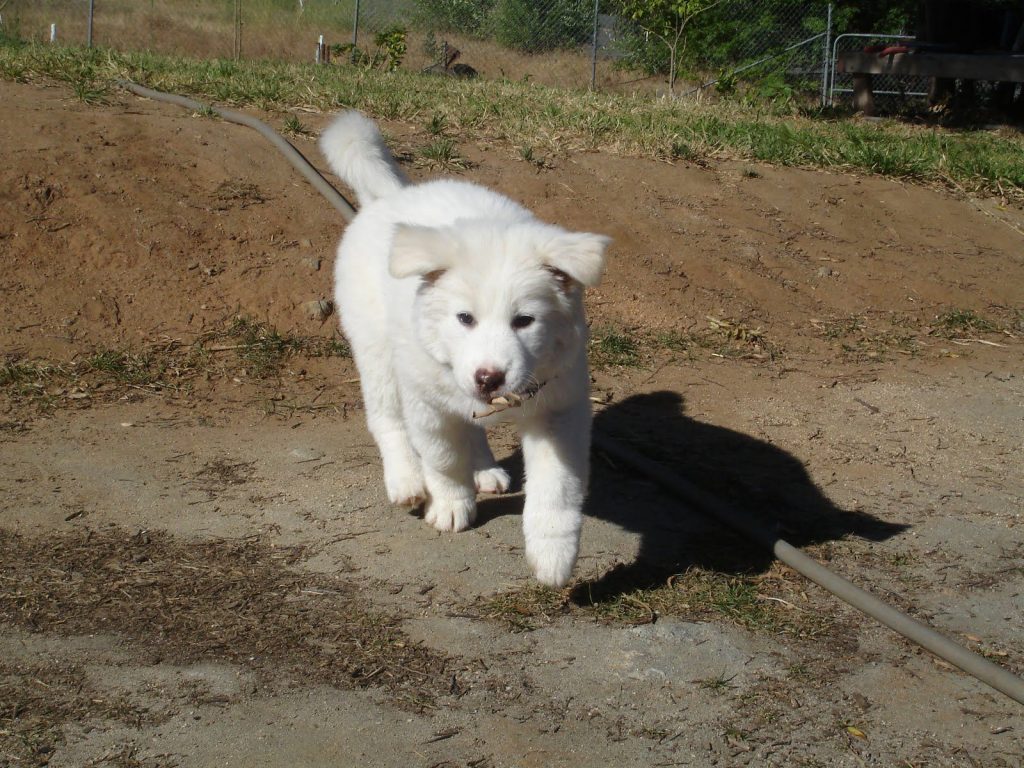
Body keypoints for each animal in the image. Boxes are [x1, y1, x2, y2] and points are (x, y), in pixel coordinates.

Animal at [319, 111, 606, 585]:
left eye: (524, 321)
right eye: (464, 319)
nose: (489, 377)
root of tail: (393, 197)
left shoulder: (559, 410)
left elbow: (556, 489)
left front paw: (554, 555)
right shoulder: (427, 404)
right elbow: (443, 458)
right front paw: (451, 505)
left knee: (472, 425)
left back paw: (485, 469)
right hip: (376, 349)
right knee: (387, 419)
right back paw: (406, 479)